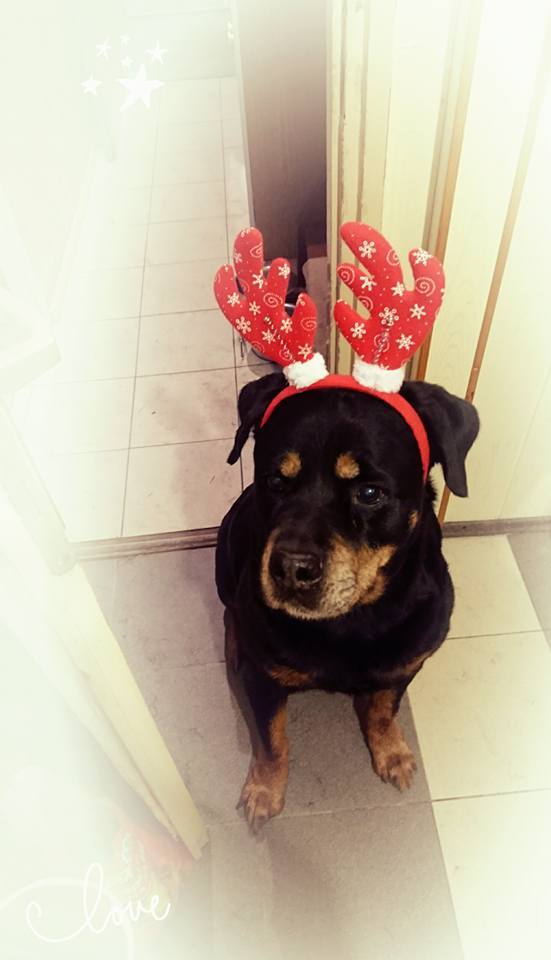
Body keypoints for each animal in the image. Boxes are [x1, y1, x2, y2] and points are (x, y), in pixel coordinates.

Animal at [216, 376, 478, 832]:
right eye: (275, 481)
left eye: (370, 493)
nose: (291, 568)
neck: (352, 620)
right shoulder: (263, 680)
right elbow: (272, 741)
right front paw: (264, 791)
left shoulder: (406, 663)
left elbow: (383, 710)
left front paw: (392, 753)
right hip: (226, 544)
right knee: (231, 611)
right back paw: (233, 644)